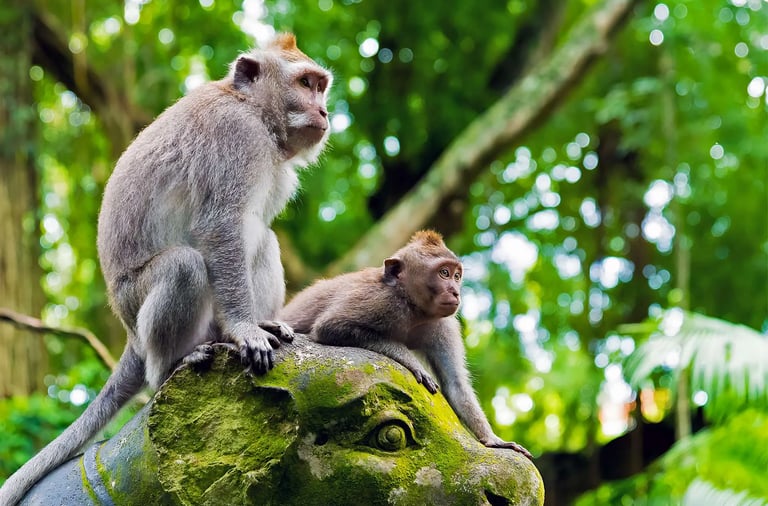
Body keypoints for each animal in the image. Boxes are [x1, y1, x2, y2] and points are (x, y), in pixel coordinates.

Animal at [0, 33, 332, 505]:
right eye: (305, 83)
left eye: (321, 86)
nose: (324, 112)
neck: (252, 109)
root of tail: (130, 335)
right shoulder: (237, 137)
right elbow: (219, 226)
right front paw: (244, 330)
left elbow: (248, 232)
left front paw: (255, 324)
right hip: (136, 302)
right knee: (184, 266)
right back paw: (172, 364)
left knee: (263, 240)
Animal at [279, 230, 533, 460]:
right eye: (444, 273)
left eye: (457, 276)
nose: (455, 292)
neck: (413, 308)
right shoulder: (379, 299)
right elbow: (330, 326)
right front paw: (413, 364)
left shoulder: (444, 326)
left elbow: (455, 384)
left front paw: (493, 440)